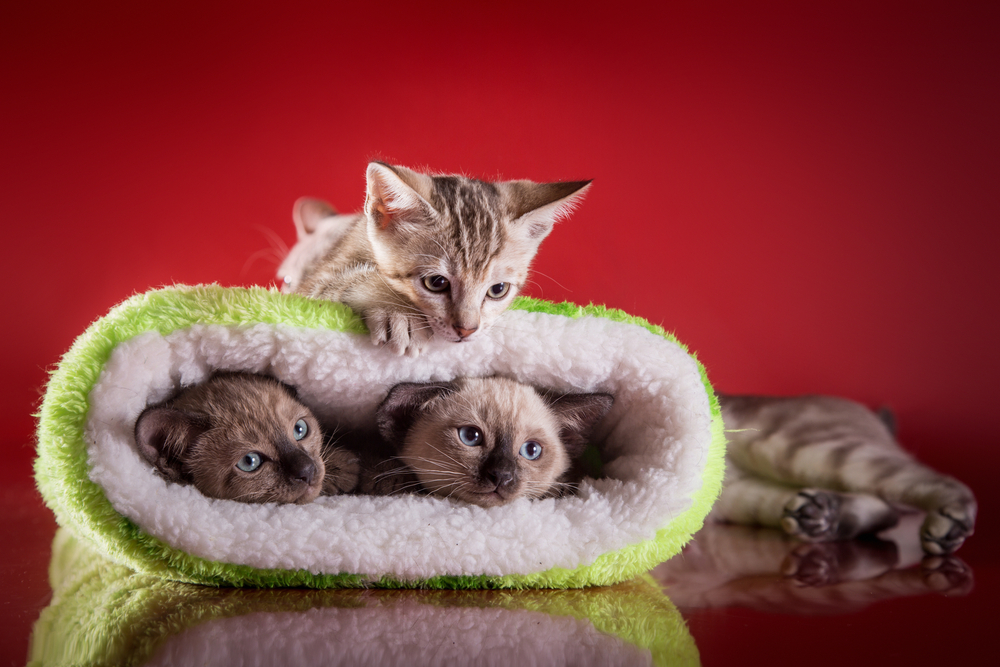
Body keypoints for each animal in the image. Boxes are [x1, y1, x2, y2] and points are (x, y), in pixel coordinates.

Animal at [286, 162, 588, 358]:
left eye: (498, 290)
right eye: (436, 282)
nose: (466, 330)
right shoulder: (313, 287)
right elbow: (348, 280)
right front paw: (399, 312)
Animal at [716, 394, 980, 556]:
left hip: (805, 448)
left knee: (944, 482)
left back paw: (948, 527)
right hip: (745, 500)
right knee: (887, 511)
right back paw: (820, 515)